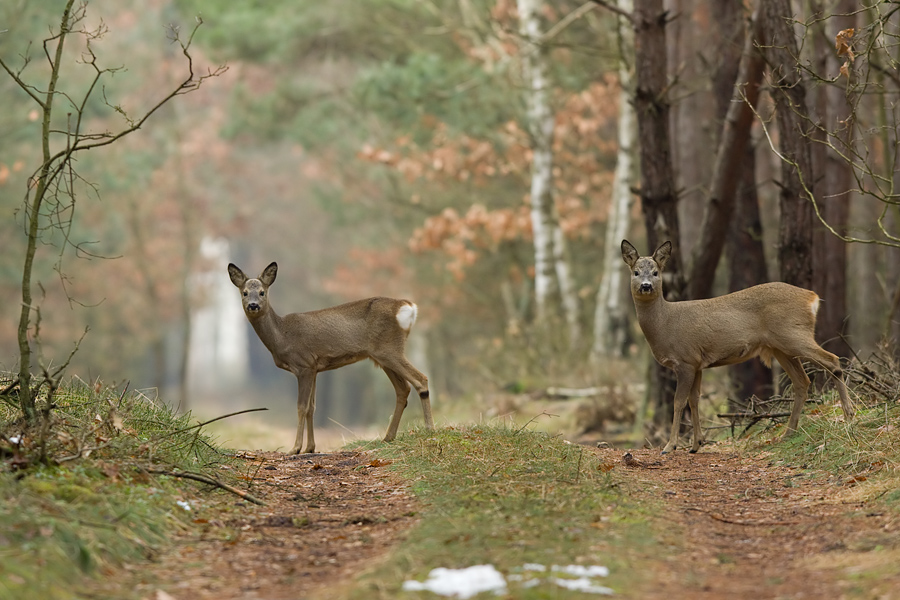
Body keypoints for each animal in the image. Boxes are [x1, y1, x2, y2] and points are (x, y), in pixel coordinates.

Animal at [229, 262, 432, 454]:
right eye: (244, 292)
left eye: (262, 292)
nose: (253, 305)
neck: (282, 336)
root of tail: (408, 307)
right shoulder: (315, 367)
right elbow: (312, 408)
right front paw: (310, 448)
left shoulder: (304, 364)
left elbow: (301, 407)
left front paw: (295, 448)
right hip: (383, 356)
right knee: (403, 389)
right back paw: (388, 437)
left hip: (389, 350)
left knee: (421, 379)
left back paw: (429, 430)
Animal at [624, 237, 856, 452]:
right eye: (636, 272)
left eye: (655, 272)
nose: (646, 286)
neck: (665, 324)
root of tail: (812, 297)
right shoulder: (697, 363)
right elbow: (694, 400)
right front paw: (696, 444)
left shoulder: (685, 360)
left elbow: (679, 402)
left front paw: (670, 446)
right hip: (781, 347)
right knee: (802, 382)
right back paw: (788, 433)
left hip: (794, 335)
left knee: (832, 360)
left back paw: (848, 415)